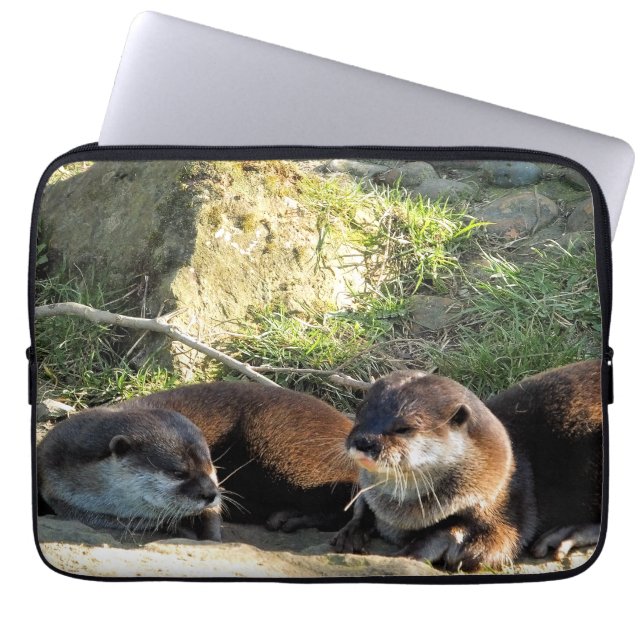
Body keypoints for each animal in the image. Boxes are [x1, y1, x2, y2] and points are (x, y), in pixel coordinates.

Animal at [332, 360, 602, 571]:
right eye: (359, 414)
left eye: (404, 428)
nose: (363, 441)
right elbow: (362, 506)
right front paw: (351, 530)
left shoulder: (509, 504)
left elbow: (498, 544)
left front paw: (418, 550)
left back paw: (567, 534)